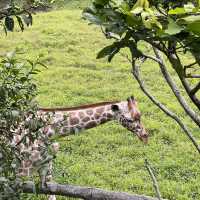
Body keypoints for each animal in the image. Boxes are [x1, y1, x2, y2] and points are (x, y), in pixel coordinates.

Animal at [12, 96, 147, 199]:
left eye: (140, 116)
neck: (50, 132)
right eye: (129, 119)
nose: (145, 136)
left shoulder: (46, 168)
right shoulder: (23, 170)